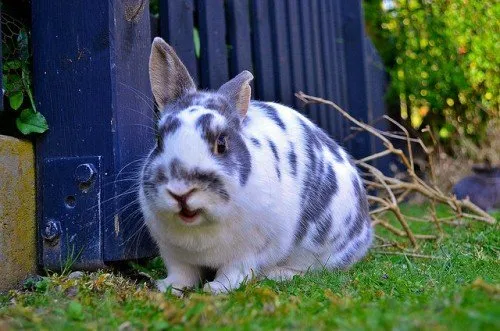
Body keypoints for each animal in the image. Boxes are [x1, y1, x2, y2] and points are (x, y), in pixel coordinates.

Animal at [139, 37, 374, 296]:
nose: (181, 192)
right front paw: (167, 287)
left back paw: (278, 274)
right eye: (159, 141)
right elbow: (182, 272)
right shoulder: (174, 253)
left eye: (221, 144)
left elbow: (233, 271)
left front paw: (216, 288)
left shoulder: (248, 252)